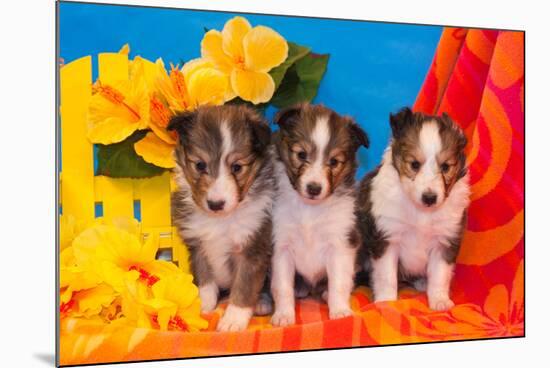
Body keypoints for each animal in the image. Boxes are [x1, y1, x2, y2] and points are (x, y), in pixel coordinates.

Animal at [166, 105, 274, 332]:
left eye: (237, 167)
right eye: (199, 165)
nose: (215, 204)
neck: (221, 220)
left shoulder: (253, 247)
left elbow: (244, 286)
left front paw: (233, 320)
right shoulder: (198, 246)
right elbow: (206, 281)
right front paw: (203, 306)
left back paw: (261, 303)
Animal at [272, 103, 370, 324]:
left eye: (334, 162)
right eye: (301, 155)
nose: (314, 188)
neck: (310, 209)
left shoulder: (340, 244)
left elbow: (339, 283)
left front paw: (340, 311)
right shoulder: (281, 245)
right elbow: (282, 285)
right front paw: (283, 314)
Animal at [360, 107, 472, 310]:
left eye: (445, 167)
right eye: (414, 164)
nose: (430, 198)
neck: (422, 212)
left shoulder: (444, 241)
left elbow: (440, 276)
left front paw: (440, 301)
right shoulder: (387, 236)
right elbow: (386, 276)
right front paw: (386, 301)